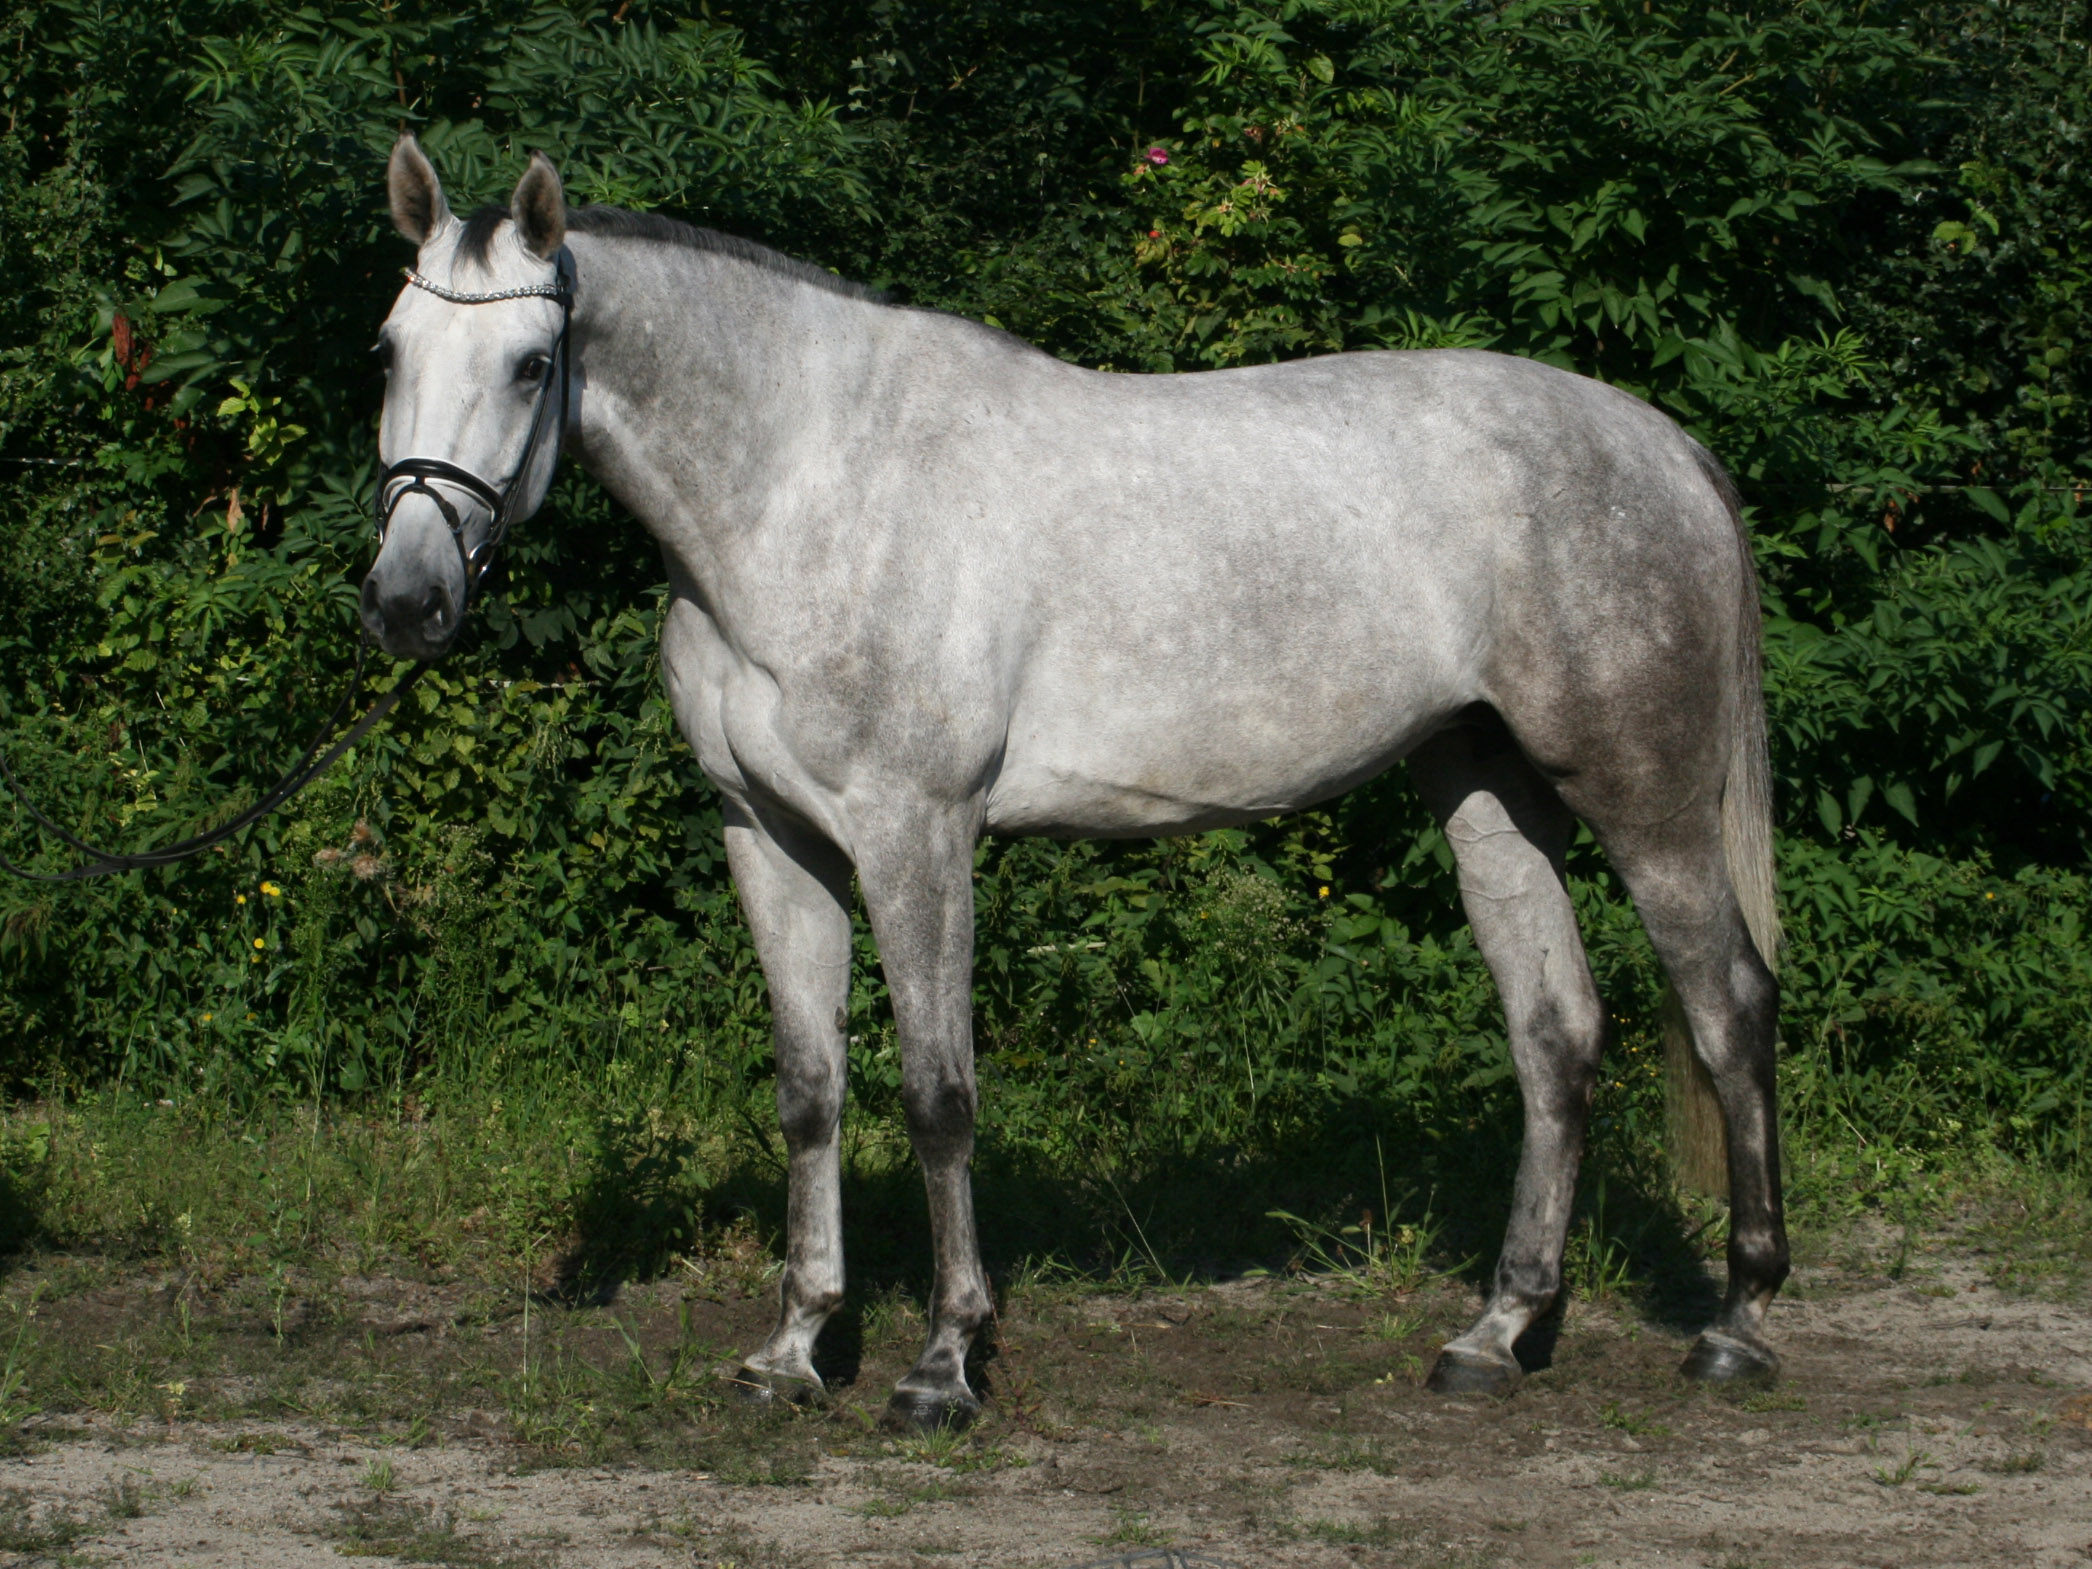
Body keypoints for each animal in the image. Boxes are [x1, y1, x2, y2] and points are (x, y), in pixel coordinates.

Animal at [362, 137, 1787, 1429]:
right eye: (387, 351)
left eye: (531, 365)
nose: (406, 602)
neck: (810, 489)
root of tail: (1664, 447)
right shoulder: (766, 836)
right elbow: (810, 1091)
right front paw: (795, 1350)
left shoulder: (914, 833)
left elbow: (937, 1096)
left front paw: (942, 1367)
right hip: (1487, 794)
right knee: (1557, 1036)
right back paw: (1495, 1335)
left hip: (1645, 802)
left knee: (1728, 1010)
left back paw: (1736, 1326)